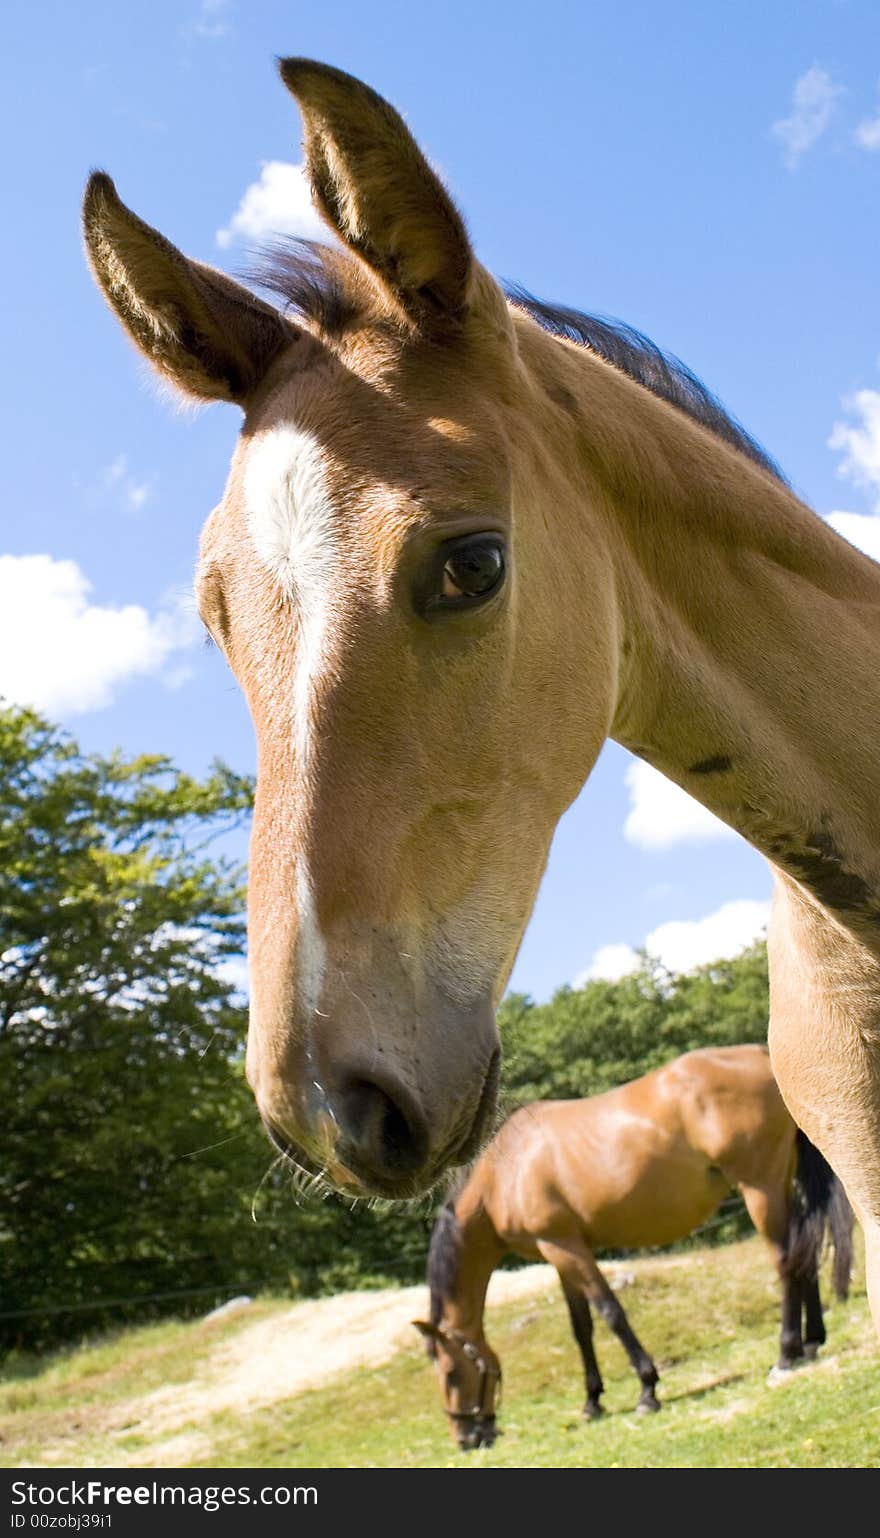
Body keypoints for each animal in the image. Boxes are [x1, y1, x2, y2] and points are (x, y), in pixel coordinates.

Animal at [415, 1039, 855, 1445]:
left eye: (451, 1373)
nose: (467, 1438)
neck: (505, 1172)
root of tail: (760, 1054)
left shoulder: (566, 1247)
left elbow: (612, 1313)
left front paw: (647, 1389)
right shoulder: (557, 1254)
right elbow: (581, 1328)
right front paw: (592, 1402)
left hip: (759, 1188)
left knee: (785, 1262)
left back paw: (786, 1353)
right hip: (783, 1183)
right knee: (805, 1253)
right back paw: (811, 1343)